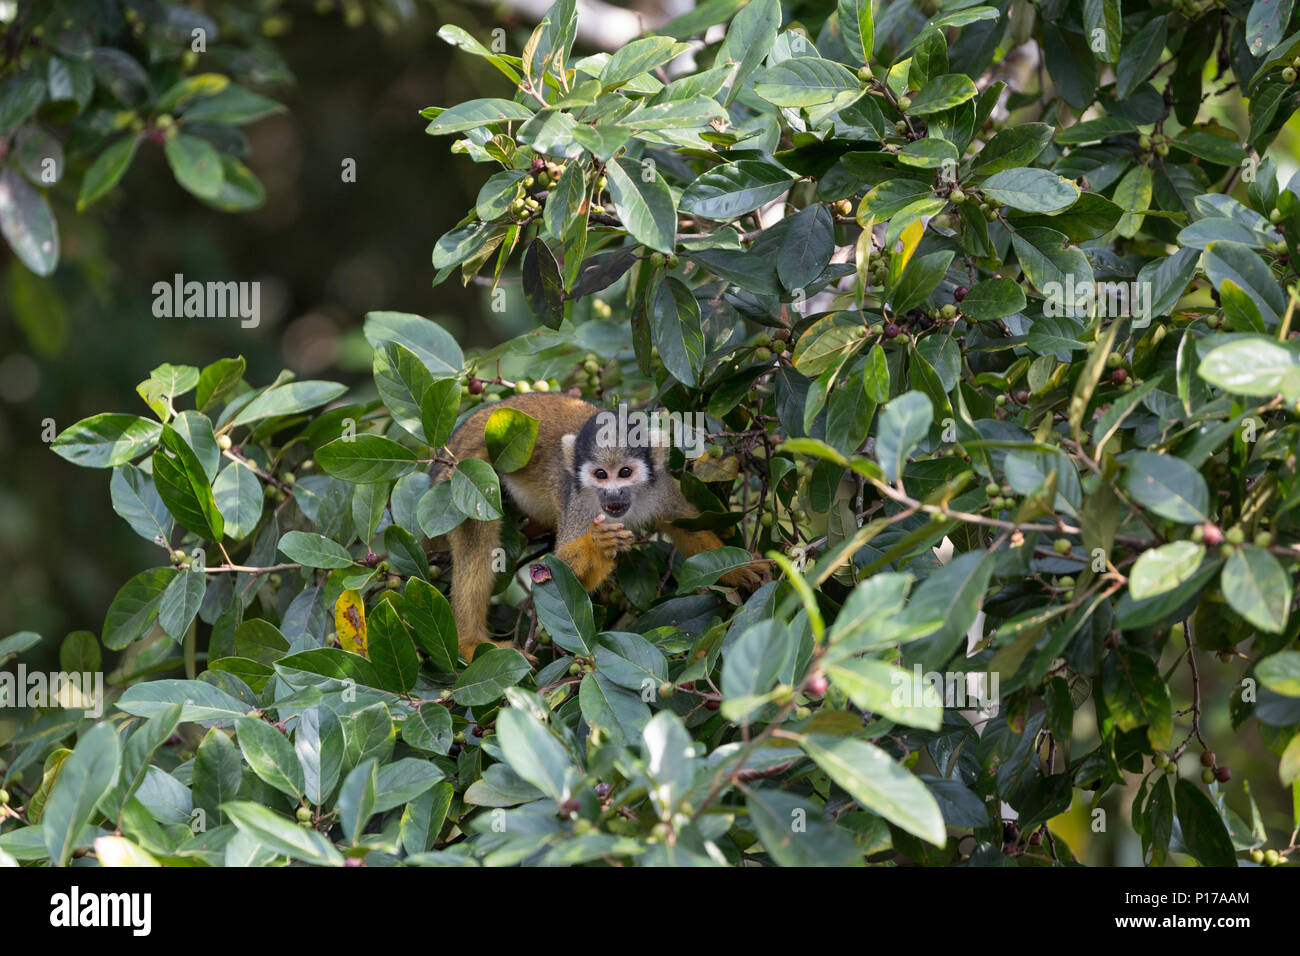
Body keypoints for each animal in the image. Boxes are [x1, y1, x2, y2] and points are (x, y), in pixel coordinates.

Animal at [431, 392, 767, 659]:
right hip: (462, 474)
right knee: (477, 540)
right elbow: (553, 576)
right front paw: (599, 544)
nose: (613, 495)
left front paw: (737, 570)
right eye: (601, 475)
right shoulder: (579, 501)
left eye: (625, 473)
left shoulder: (661, 488)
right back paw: (471, 643)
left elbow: (685, 524)